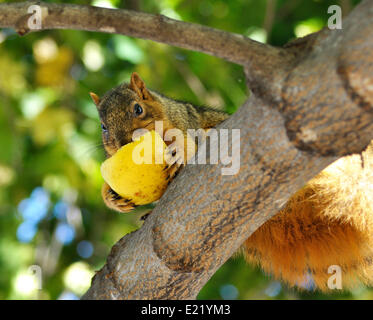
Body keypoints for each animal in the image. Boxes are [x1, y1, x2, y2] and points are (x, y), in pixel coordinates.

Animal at [90, 72, 372, 292]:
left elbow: (189, 141)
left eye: (138, 109)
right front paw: (110, 196)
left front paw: (180, 149)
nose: (123, 142)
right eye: (103, 126)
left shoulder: (186, 121)